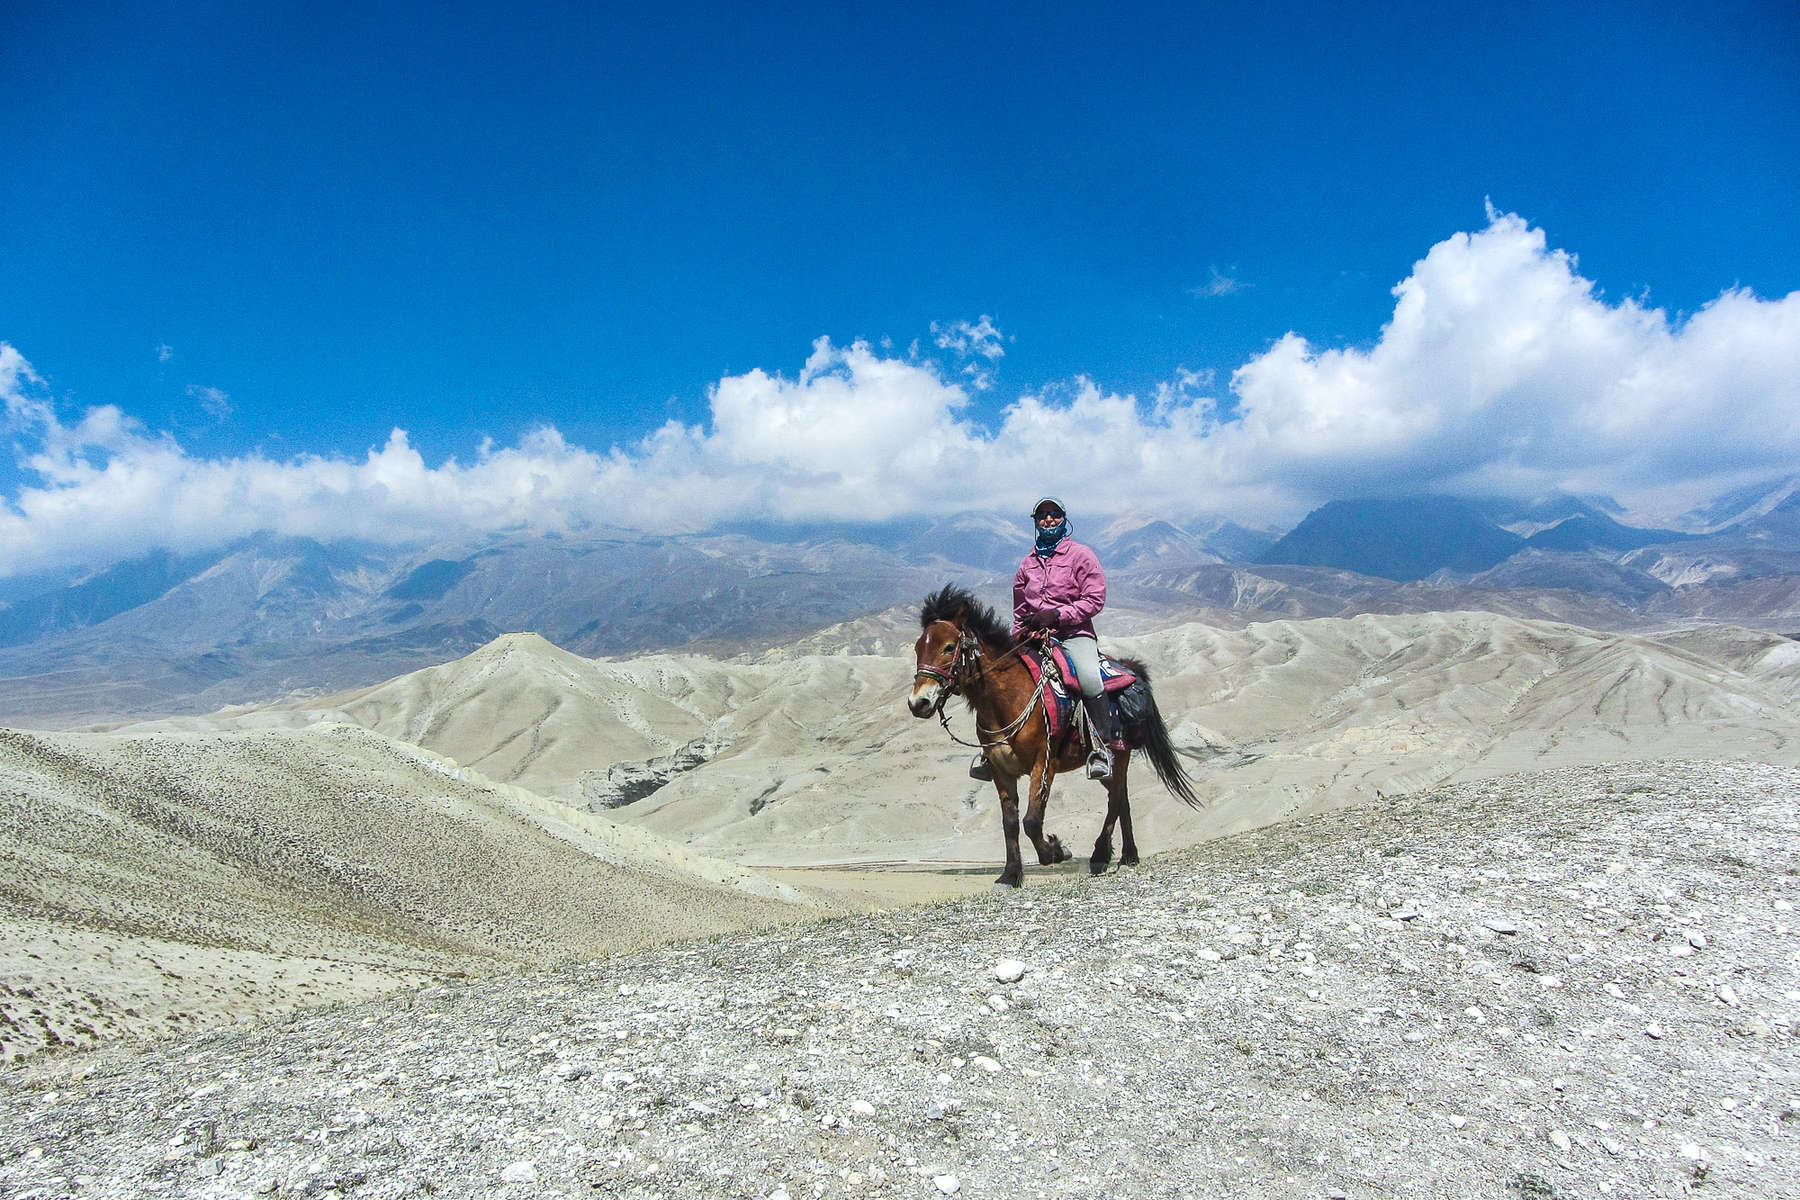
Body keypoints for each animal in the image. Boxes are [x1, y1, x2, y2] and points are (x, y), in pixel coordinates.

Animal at [914, 586, 1195, 888]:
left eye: (948, 647)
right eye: (918, 648)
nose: (918, 702)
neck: (1008, 700)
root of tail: (1131, 668)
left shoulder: (1043, 765)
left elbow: (1031, 821)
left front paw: (1056, 851)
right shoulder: (1001, 770)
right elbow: (1010, 823)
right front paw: (1010, 874)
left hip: (1119, 755)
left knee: (1116, 798)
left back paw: (1100, 856)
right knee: (1122, 798)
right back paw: (1128, 855)